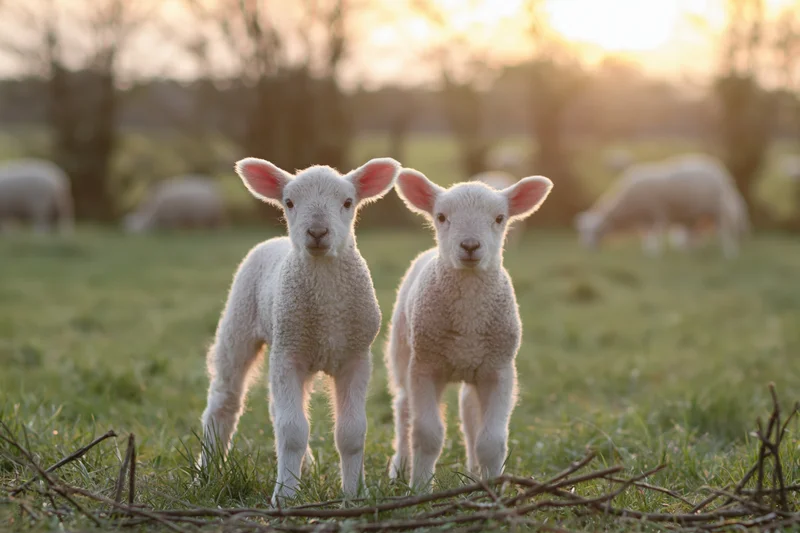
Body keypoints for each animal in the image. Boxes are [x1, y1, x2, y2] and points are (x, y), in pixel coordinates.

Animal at [199, 157, 401, 505]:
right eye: (289, 202)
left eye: (348, 202)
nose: (317, 232)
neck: (327, 308)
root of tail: (276, 241)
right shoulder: (288, 354)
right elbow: (292, 431)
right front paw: (285, 497)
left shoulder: (355, 357)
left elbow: (351, 432)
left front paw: (354, 494)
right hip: (241, 324)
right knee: (225, 400)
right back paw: (208, 472)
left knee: (276, 408)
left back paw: (304, 469)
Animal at [385, 168, 553, 491]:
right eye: (441, 216)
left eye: (500, 218)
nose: (470, 246)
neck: (468, 322)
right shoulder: (425, 367)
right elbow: (427, 435)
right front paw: (420, 488)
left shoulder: (499, 370)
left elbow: (492, 440)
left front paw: (493, 488)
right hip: (402, 351)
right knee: (403, 409)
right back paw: (400, 469)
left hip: (475, 368)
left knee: (469, 413)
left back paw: (474, 473)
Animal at [575, 153, 749, 258]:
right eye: (582, 232)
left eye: (595, 231)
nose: (587, 249)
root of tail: (720, 171)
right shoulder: (644, 217)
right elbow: (647, 234)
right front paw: (648, 250)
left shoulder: (657, 210)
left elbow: (656, 232)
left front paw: (655, 254)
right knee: (695, 233)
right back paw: (689, 252)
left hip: (716, 208)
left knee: (725, 230)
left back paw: (729, 253)